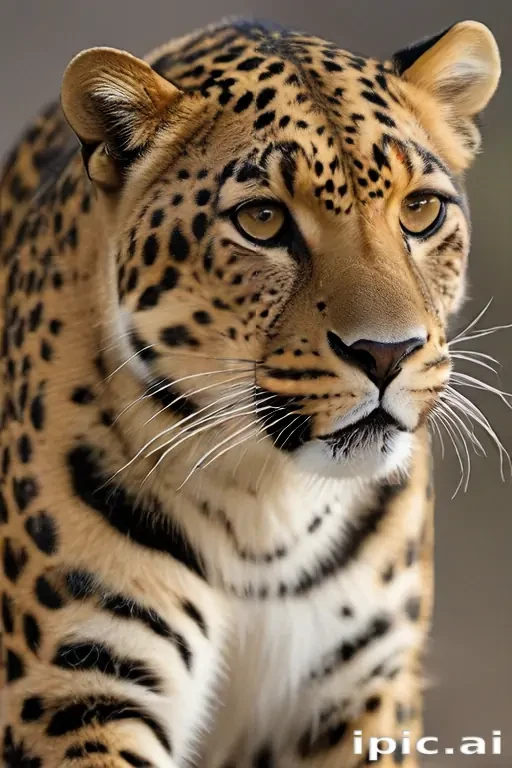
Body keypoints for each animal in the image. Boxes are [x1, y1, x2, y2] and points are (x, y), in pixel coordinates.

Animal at [0, 16, 501, 768]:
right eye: (262, 221)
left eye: (420, 210)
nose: (387, 352)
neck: (265, 513)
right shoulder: (75, 688)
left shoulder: (361, 687)